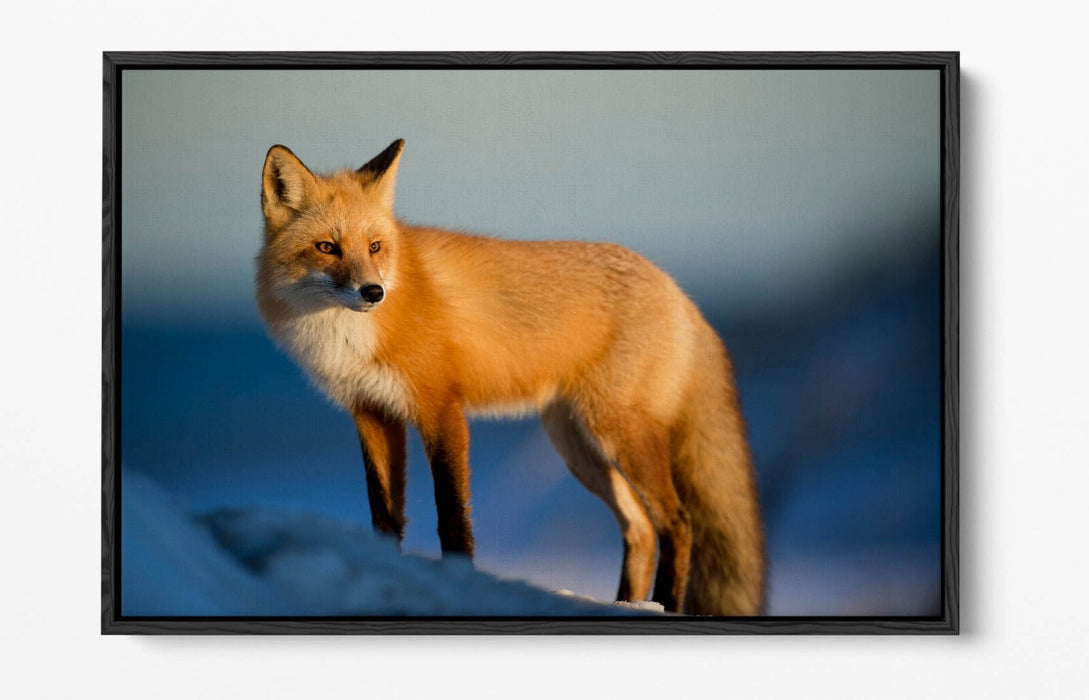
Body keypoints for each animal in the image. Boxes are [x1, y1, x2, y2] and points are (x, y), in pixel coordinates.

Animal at [256, 139, 765, 615]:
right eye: (327, 247)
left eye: (375, 247)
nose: (373, 292)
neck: (349, 336)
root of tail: (678, 291)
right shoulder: (372, 413)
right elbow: (384, 517)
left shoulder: (441, 408)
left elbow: (452, 516)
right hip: (578, 447)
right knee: (640, 528)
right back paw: (626, 604)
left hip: (618, 433)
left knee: (678, 522)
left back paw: (664, 604)